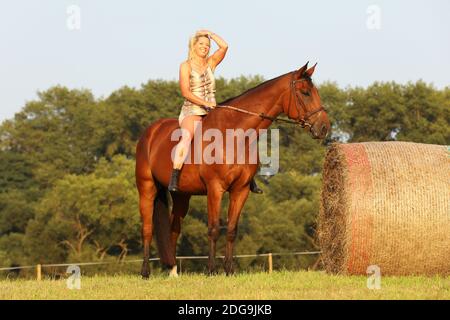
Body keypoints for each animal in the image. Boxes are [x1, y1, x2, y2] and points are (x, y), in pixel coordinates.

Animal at [135, 62, 328, 278]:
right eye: (305, 93)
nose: (324, 127)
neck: (234, 135)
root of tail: (151, 132)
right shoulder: (215, 189)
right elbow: (213, 229)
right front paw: (211, 270)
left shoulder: (240, 190)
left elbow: (231, 230)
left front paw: (229, 270)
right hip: (147, 189)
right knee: (147, 229)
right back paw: (145, 271)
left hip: (181, 195)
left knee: (173, 229)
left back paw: (173, 271)